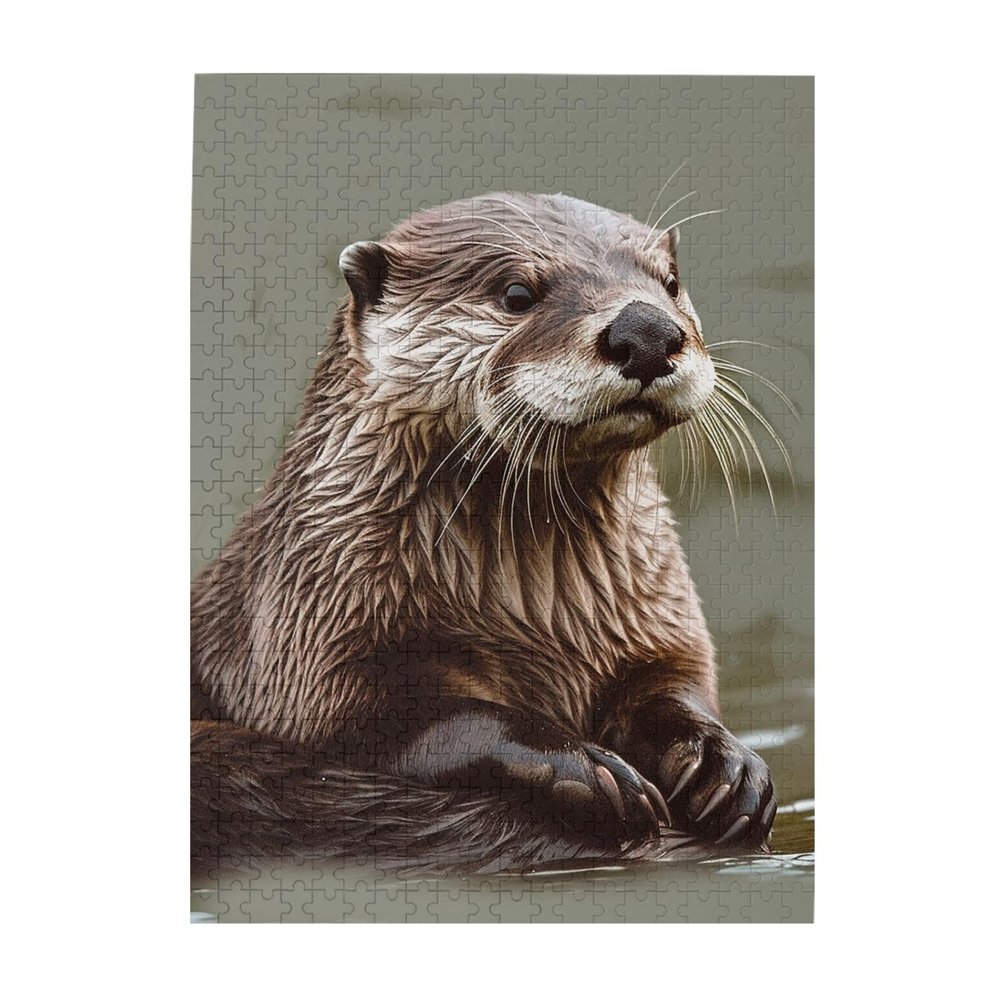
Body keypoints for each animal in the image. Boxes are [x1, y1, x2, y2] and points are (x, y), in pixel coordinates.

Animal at [191, 192, 777, 874]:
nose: (648, 331)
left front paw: (723, 760)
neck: (542, 617)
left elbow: (674, 684)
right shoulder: (305, 637)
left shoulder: (656, 617)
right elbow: (394, 720)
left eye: (670, 283)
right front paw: (583, 765)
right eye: (517, 293)